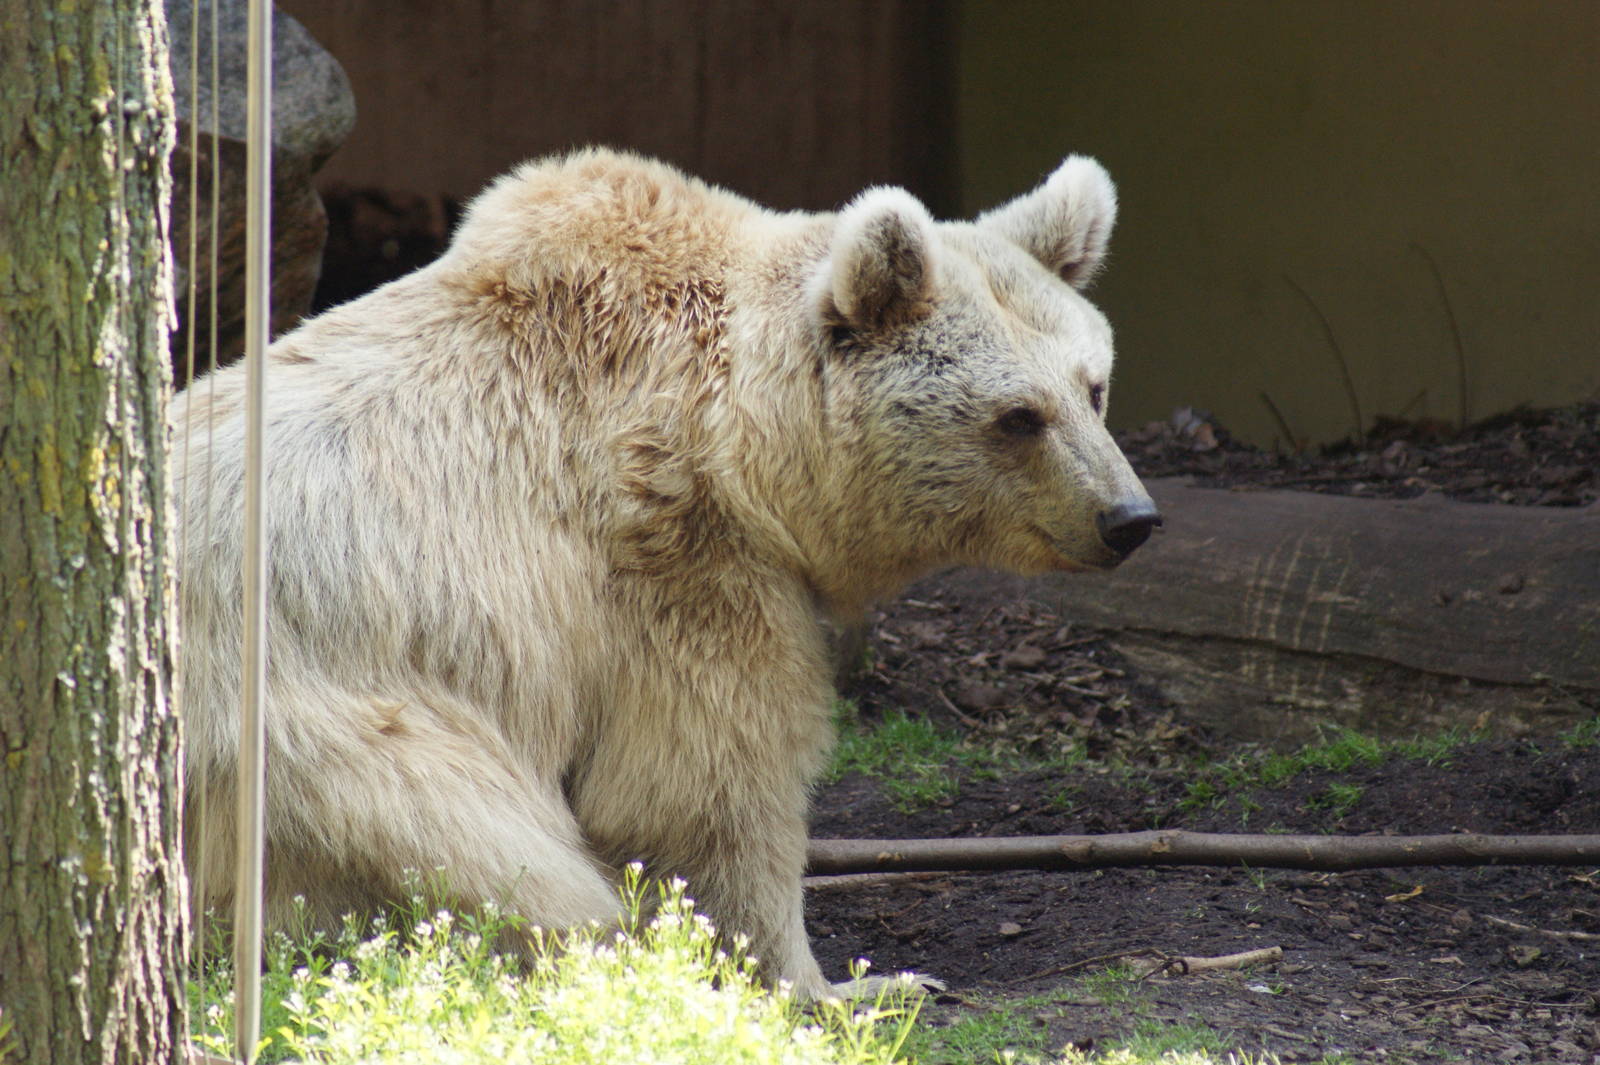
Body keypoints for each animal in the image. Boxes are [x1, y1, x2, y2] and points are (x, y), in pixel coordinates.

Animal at [173, 147, 1159, 999]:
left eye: (1094, 387)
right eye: (1017, 416)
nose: (1128, 518)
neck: (750, 441)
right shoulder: (678, 554)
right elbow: (708, 781)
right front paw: (844, 980)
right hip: (303, 731)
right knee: (470, 842)